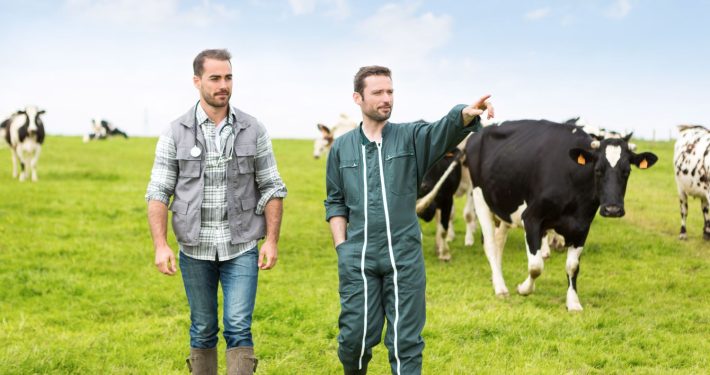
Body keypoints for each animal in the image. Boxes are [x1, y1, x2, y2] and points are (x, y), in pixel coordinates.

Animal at [468, 120, 660, 312]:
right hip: (480, 199)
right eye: (598, 170)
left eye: (627, 171)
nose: (612, 209)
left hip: (504, 208)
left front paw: (573, 302)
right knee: (490, 245)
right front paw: (524, 289)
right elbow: (536, 266)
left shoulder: (582, 225)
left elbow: (572, 267)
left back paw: (497, 280)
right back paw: (500, 287)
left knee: (499, 242)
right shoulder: (530, 218)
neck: (572, 182)